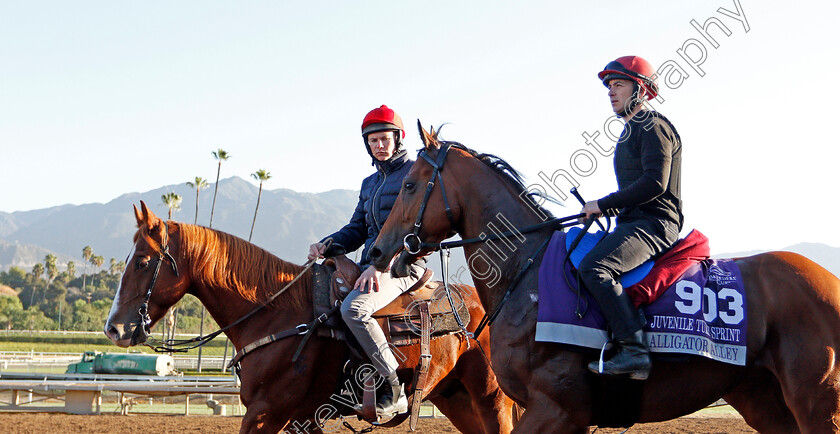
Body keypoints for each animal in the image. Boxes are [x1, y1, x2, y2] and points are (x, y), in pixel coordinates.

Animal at [102, 203, 516, 434]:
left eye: (142, 262)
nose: (114, 328)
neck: (275, 315)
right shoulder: (303, 419)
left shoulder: (266, 414)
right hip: (456, 397)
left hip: (491, 399)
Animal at [370, 124, 840, 432]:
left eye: (409, 185)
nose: (377, 250)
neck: (528, 277)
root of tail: (829, 280)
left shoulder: (557, 409)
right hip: (763, 399)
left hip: (818, 401)